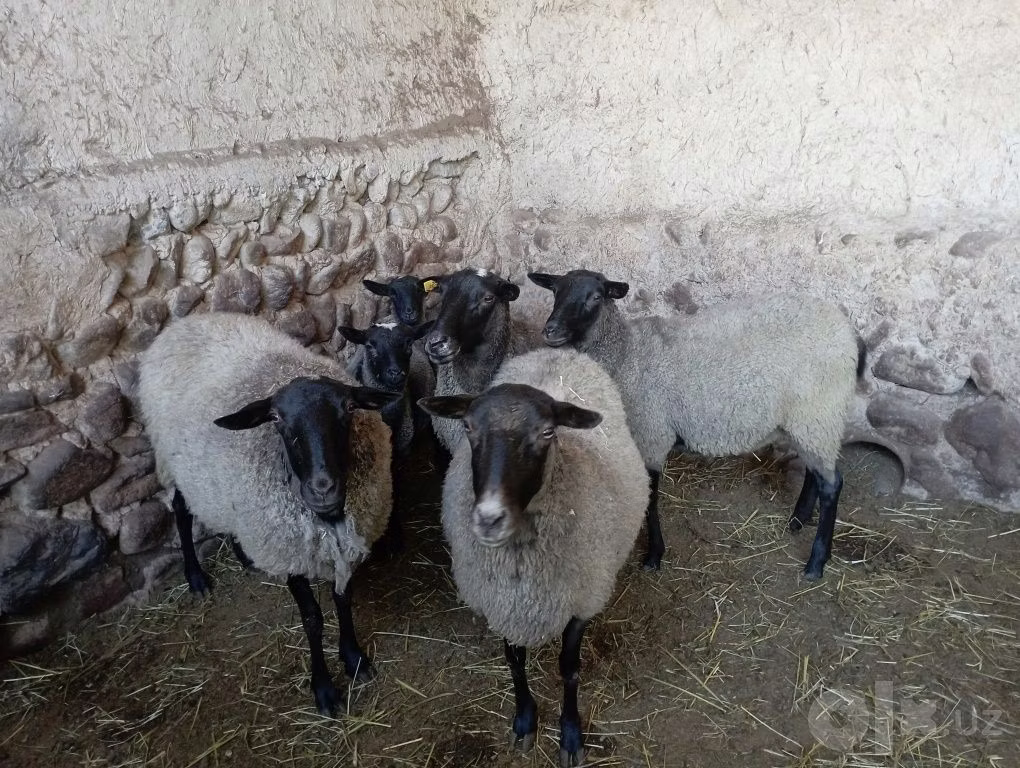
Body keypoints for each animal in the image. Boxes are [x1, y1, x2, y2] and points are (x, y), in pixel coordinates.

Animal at [137, 312, 399, 716]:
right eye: (276, 418)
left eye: (348, 410)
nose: (323, 488)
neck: (327, 518)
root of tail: (187, 321)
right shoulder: (289, 551)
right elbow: (312, 619)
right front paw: (324, 688)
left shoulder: (342, 545)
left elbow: (343, 599)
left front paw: (354, 658)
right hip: (174, 461)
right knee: (181, 511)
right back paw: (195, 577)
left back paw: (243, 554)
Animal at [338, 320, 435, 553]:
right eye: (370, 345)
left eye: (407, 343)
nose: (396, 373)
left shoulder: (400, 454)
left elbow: (394, 490)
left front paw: (396, 535)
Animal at [419, 347, 648, 768]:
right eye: (468, 428)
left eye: (547, 432)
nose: (489, 518)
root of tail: (558, 350)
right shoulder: (502, 603)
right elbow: (515, 661)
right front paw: (525, 719)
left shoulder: (582, 600)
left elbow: (569, 670)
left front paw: (570, 734)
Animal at [528, 269, 863, 580]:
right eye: (556, 290)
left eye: (596, 297)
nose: (551, 330)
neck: (626, 354)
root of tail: (847, 330)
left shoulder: (651, 434)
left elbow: (650, 499)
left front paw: (654, 554)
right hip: (811, 419)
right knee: (815, 470)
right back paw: (798, 520)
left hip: (819, 409)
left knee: (832, 484)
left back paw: (816, 563)